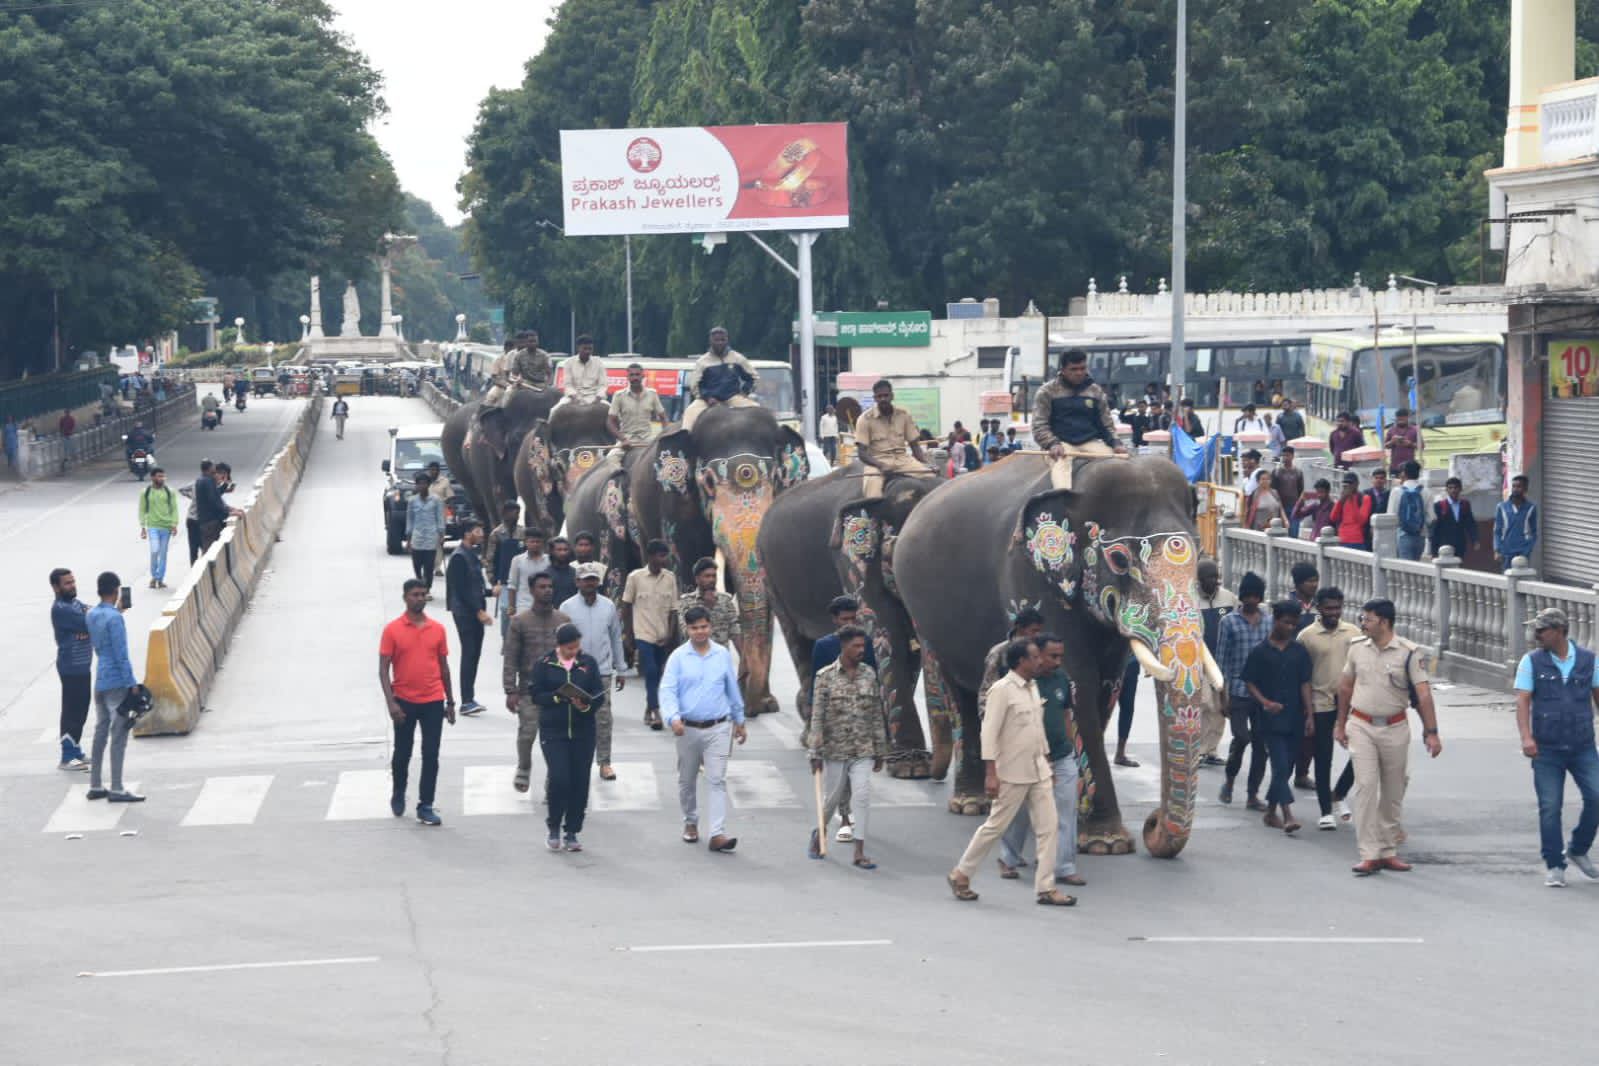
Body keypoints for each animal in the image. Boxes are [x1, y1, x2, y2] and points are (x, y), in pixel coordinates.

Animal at [757, 463, 933, 779]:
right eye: (897, 550)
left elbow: (903, 646)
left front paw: (885, 747)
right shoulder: (852, 553)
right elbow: (888, 633)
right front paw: (911, 767)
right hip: (770, 573)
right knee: (798, 642)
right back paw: (810, 734)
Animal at [889, 450, 1221, 856]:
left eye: (1198, 554)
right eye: (1119, 560)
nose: (1151, 823)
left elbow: (1103, 688)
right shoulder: (1028, 574)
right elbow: (1076, 683)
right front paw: (1106, 843)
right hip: (926, 619)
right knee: (961, 697)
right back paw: (972, 803)